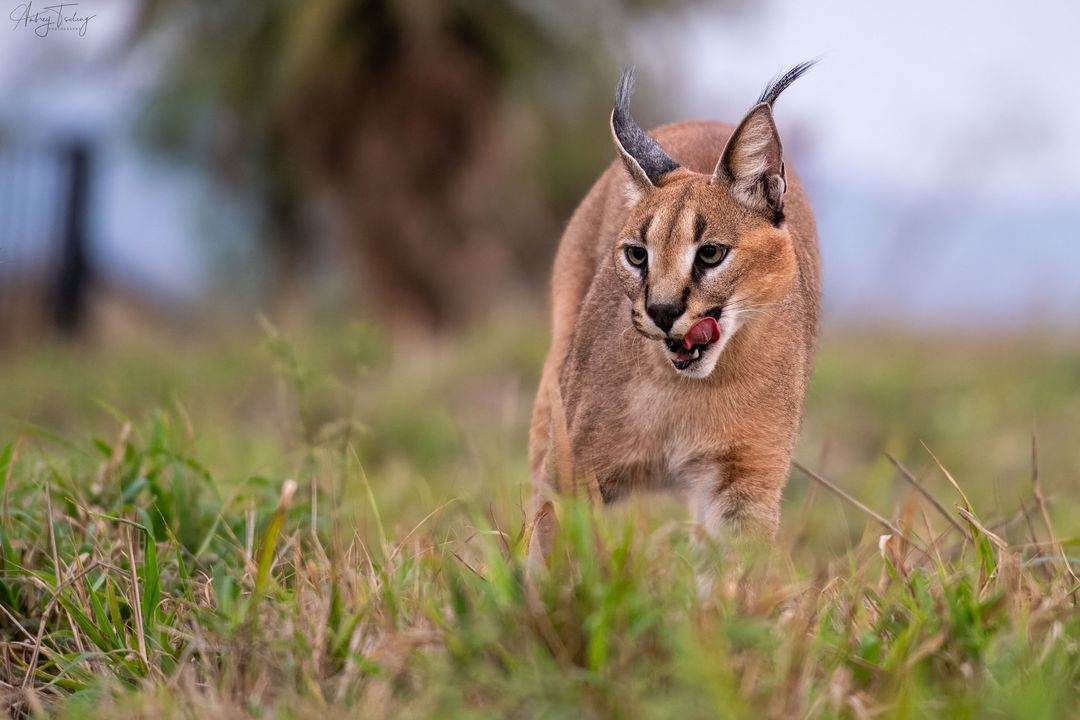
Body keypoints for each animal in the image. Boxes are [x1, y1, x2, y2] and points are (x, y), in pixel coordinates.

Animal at [529, 62, 816, 561]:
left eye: (711, 254)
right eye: (636, 255)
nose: (662, 310)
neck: (690, 395)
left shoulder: (746, 485)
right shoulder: (571, 472)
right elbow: (553, 560)